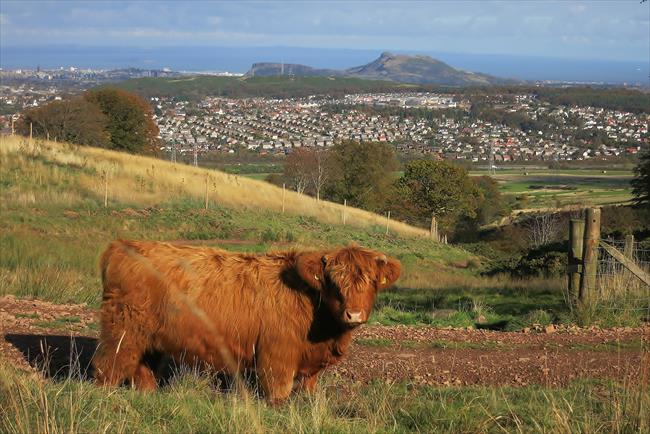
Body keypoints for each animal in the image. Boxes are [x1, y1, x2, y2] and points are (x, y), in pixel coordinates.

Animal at [93, 239, 398, 402]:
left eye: (372, 282)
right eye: (334, 282)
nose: (353, 314)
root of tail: (123, 246)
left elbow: (308, 386)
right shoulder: (278, 354)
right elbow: (278, 390)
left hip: (148, 337)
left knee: (142, 367)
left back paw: (148, 393)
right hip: (122, 331)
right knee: (109, 365)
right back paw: (103, 397)